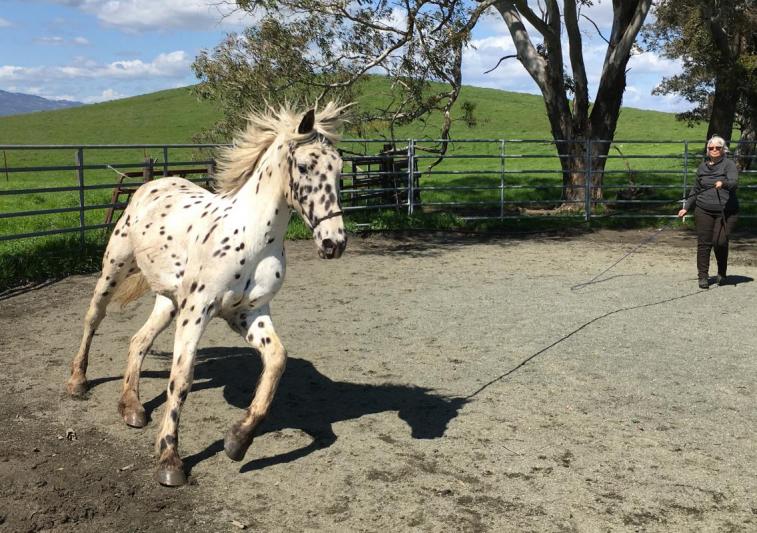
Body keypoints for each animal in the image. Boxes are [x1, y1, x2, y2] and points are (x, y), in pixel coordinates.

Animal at [66, 101, 350, 486]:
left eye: (339, 169)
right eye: (305, 166)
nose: (334, 243)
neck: (252, 237)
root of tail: (153, 184)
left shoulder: (249, 313)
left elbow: (277, 360)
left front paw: (237, 441)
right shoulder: (198, 310)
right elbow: (181, 378)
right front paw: (170, 460)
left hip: (169, 301)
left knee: (138, 341)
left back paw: (132, 407)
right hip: (115, 268)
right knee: (93, 318)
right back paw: (78, 382)